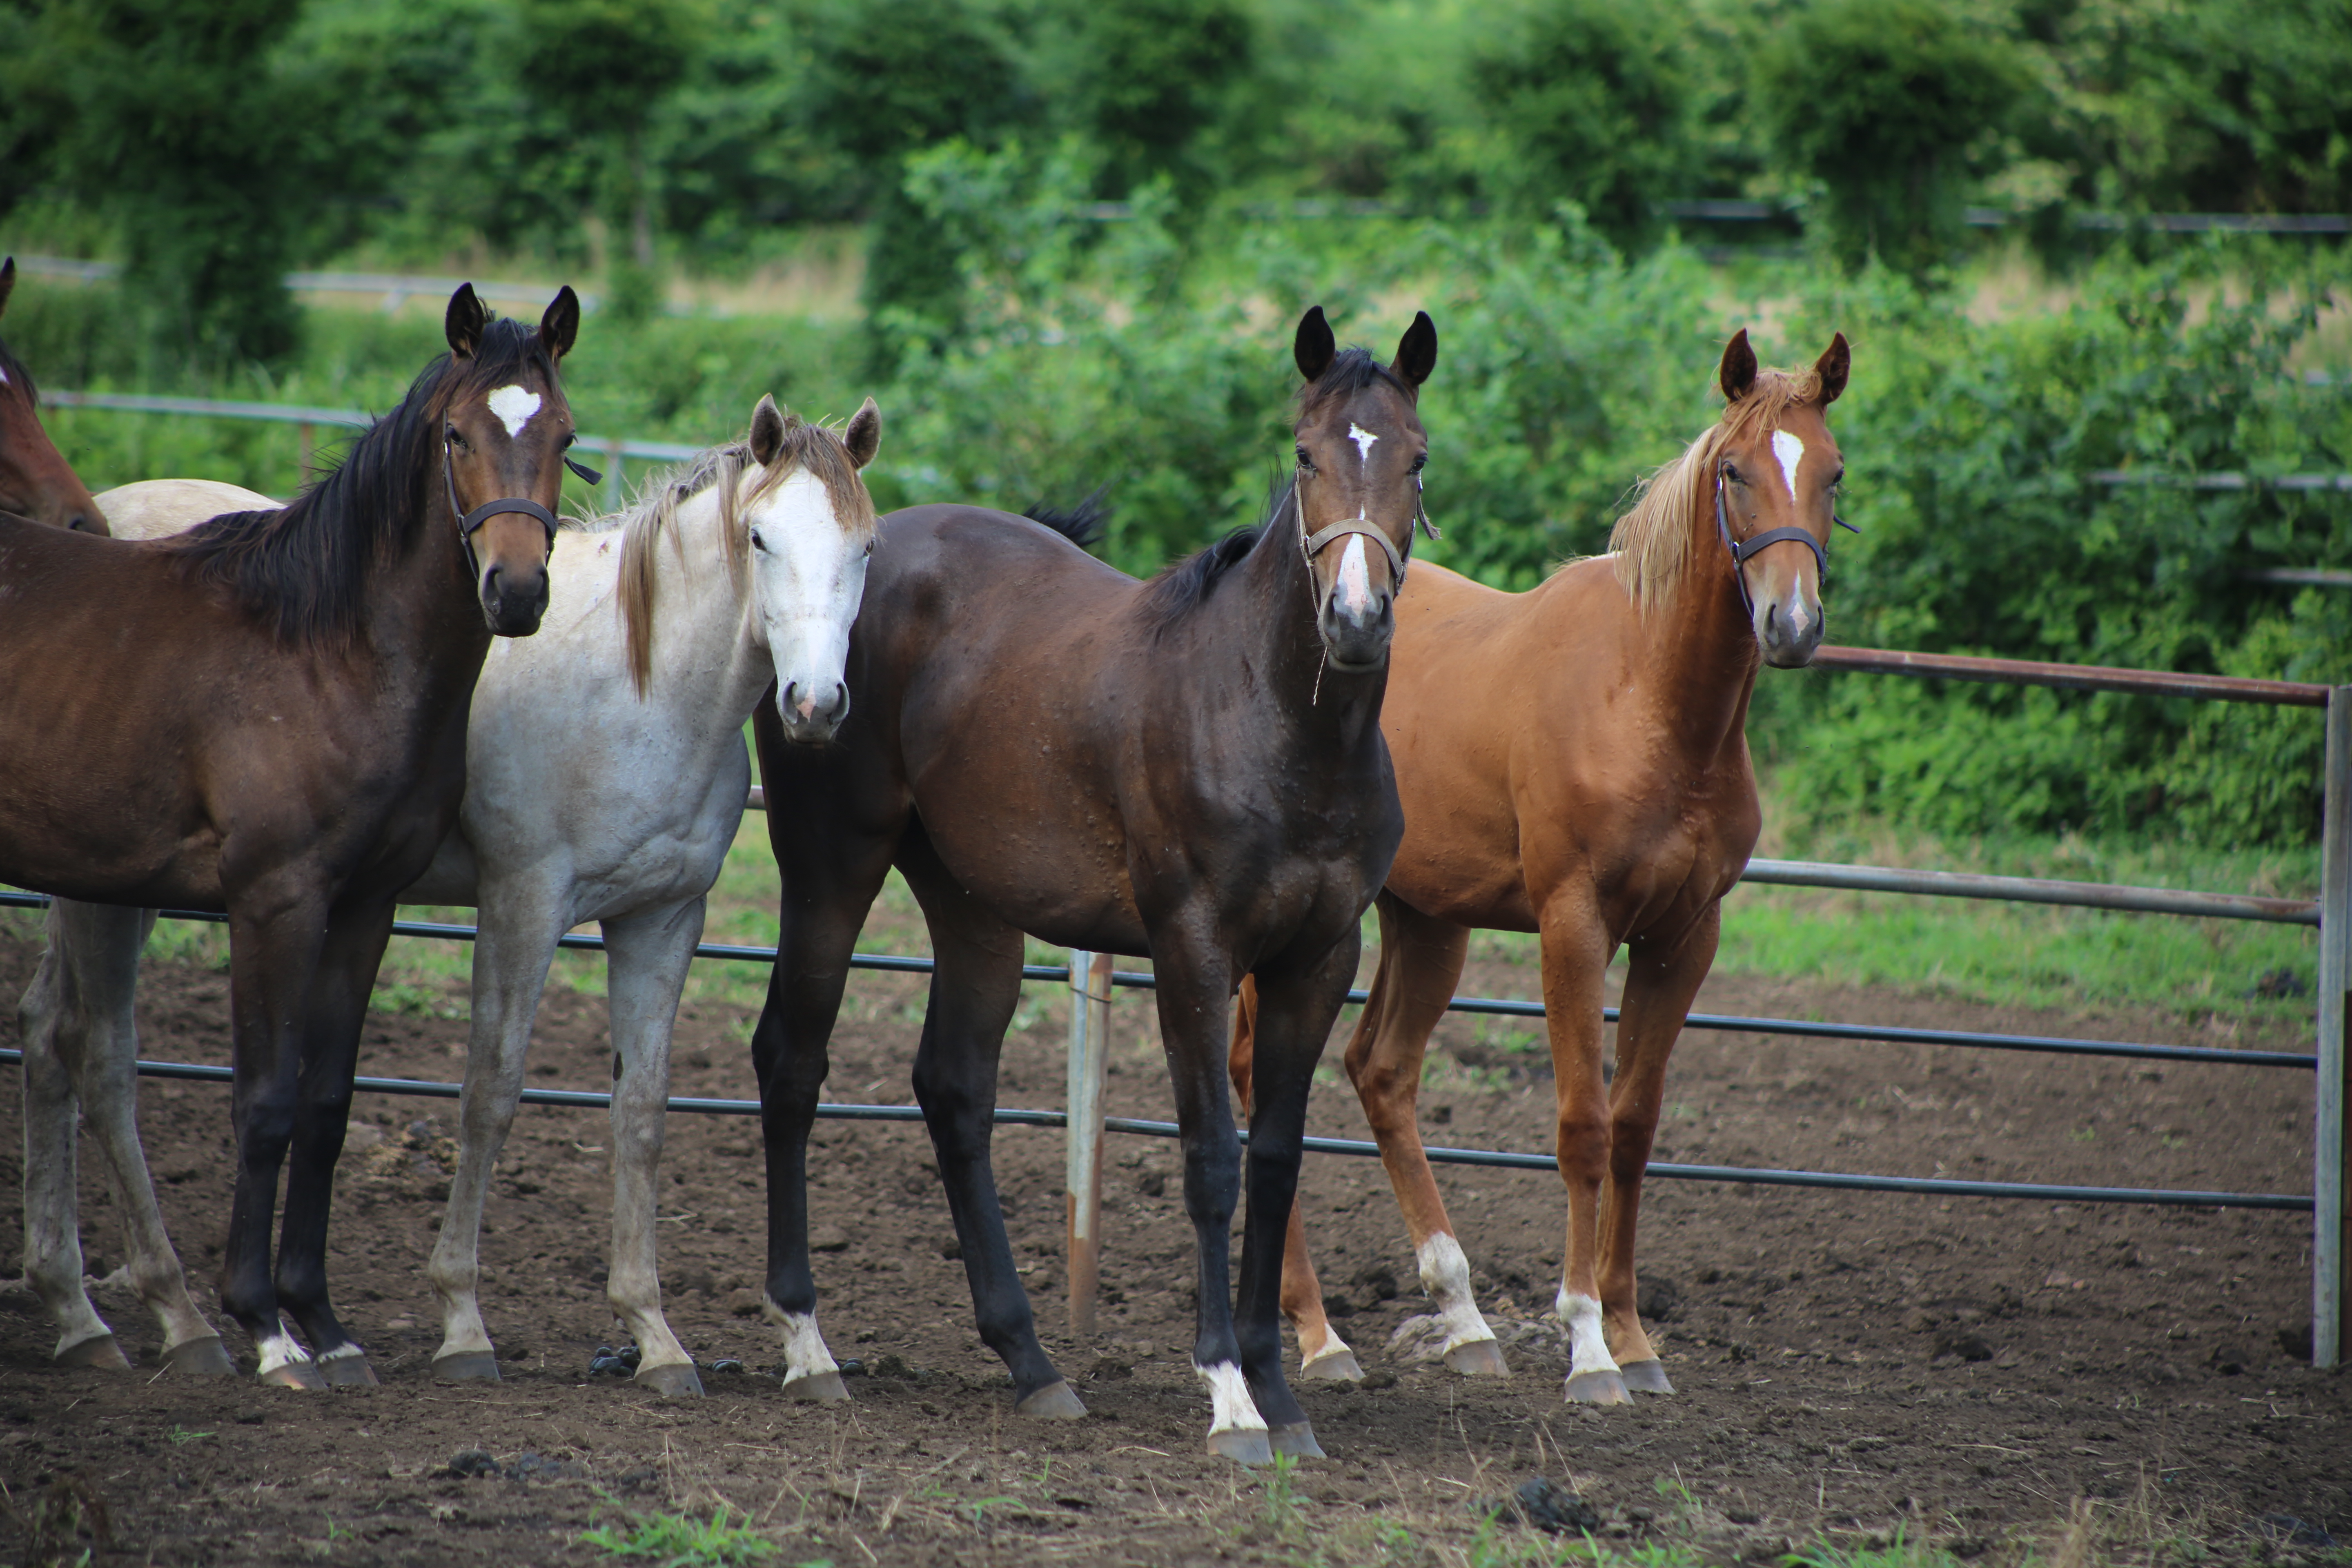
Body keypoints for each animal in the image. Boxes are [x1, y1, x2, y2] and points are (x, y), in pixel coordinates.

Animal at [16, 395, 884, 1401]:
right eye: (760, 537)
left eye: (866, 546)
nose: (816, 704)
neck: (643, 687)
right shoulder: (524, 906)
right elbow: (490, 1096)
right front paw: (463, 1323)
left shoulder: (661, 923)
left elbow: (641, 1115)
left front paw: (655, 1335)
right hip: (111, 890)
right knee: (100, 1057)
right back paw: (176, 1313)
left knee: (46, 1034)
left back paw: (75, 1310)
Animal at [753, 310, 1439, 1476]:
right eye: (1306, 456)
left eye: (1416, 459)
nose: (1355, 619)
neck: (1275, 724)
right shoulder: (1193, 953)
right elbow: (1211, 1159)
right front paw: (1229, 1395)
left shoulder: (1317, 961)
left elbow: (1276, 1158)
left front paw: (1278, 1390)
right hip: (830, 866)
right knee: (791, 1063)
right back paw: (807, 1346)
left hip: (972, 906)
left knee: (953, 1086)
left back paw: (1031, 1361)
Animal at [1232, 329, 1853, 1401]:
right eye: (1733, 472)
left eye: (1832, 472)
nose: (1791, 625)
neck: (1649, 699)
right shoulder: (1573, 925)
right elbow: (1582, 1126)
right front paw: (1587, 1344)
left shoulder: (1683, 936)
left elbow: (1636, 1126)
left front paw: (1634, 1337)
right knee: (1255, 1075)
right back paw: (1316, 1333)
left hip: (1425, 921)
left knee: (1380, 1071)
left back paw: (1463, 1317)